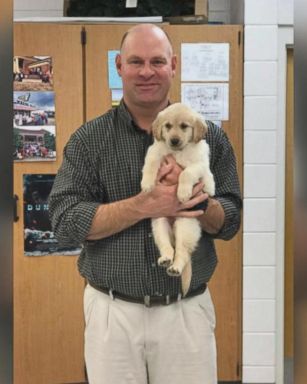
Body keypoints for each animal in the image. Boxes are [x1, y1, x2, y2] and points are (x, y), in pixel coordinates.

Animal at [141, 103, 215, 296]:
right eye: (167, 126)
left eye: (184, 126)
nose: (174, 140)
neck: (178, 151)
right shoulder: (155, 153)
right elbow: (150, 165)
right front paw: (147, 184)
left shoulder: (198, 164)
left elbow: (185, 173)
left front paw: (183, 193)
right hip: (159, 224)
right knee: (167, 247)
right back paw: (166, 259)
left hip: (186, 226)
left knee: (182, 253)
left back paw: (175, 267)